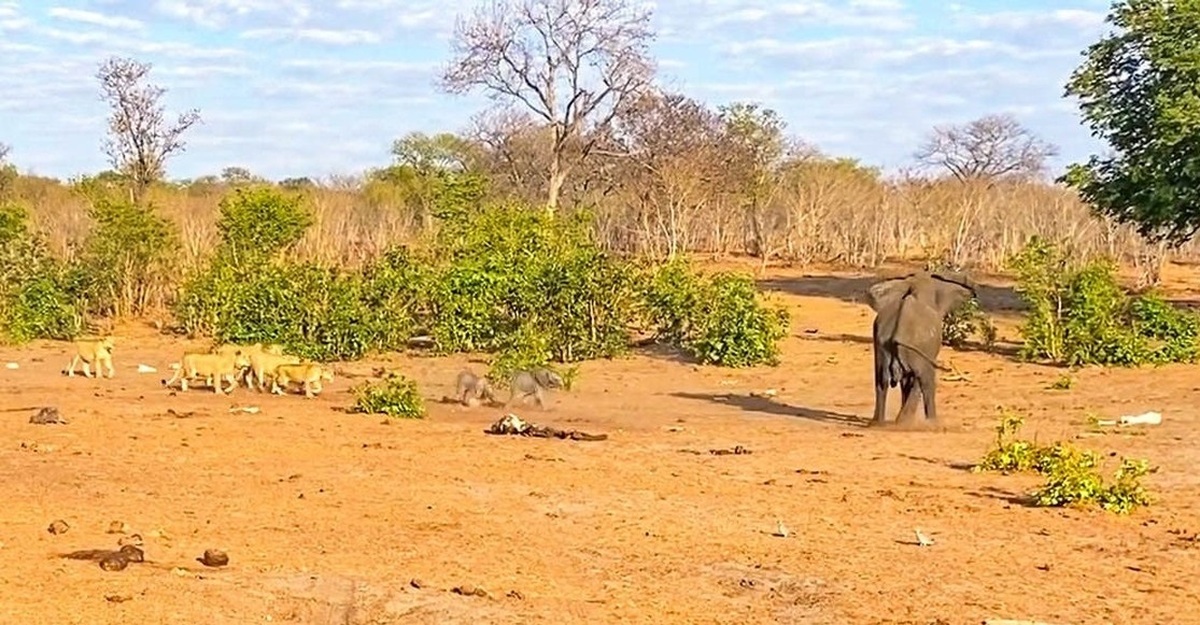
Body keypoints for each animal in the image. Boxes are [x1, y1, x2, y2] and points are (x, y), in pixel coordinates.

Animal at [868, 269, 979, 427]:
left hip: (882, 345)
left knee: (881, 380)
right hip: (918, 348)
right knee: (924, 380)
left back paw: (879, 423)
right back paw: (920, 423)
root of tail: (899, 331)